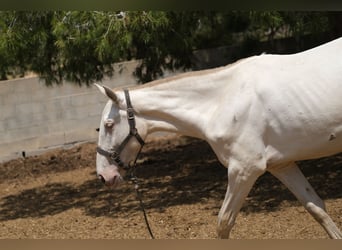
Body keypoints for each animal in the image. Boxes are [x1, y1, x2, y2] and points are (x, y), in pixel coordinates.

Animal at [95, 37, 342, 238]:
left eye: (109, 125)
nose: (104, 177)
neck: (221, 101)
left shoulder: (245, 169)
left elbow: (224, 223)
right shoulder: (282, 165)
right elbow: (317, 208)